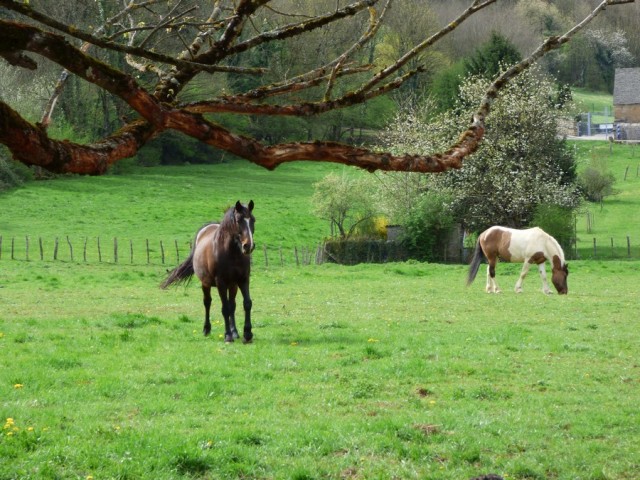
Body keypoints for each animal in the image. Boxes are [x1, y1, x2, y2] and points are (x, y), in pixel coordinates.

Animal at [161, 201, 256, 344]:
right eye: (239, 220)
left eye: (253, 220)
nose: (248, 246)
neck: (232, 253)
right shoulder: (221, 282)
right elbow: (225, 308)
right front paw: (227, 336)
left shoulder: (243, 279)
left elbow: (247, 304)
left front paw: (247, 334)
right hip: (205, 284)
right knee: (207, 303)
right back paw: (207, 329)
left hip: (232, 285)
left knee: (232, 305)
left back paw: (235, 332)